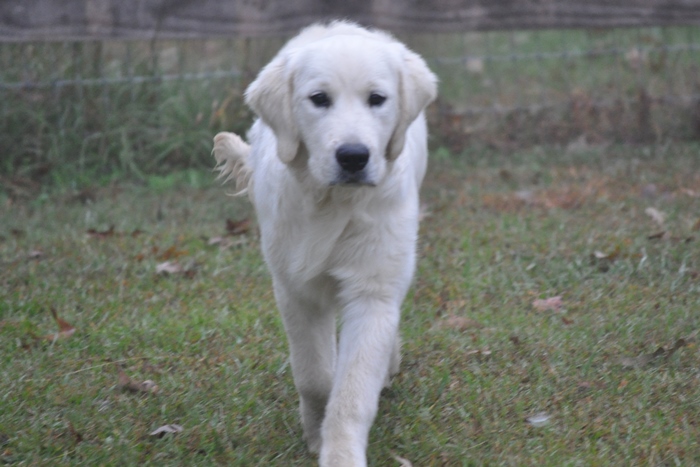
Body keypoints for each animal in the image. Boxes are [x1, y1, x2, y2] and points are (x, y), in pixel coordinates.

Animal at [213, 21, 434, 467]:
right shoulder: (296, 290)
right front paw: (316, 432)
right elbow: (314, 375)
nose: (353, 157)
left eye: (377, 99)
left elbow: (352, 391)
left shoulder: (372, 291)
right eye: (319, 99)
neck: (335, 203)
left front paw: (341, 453)